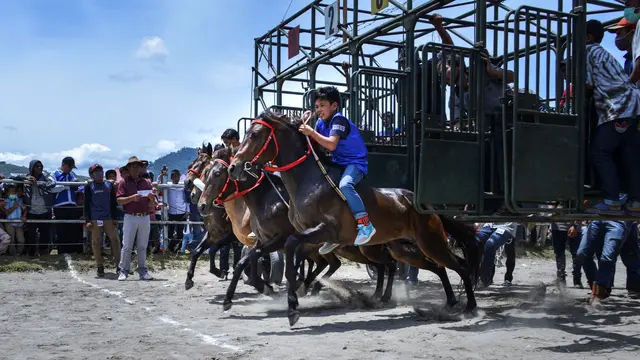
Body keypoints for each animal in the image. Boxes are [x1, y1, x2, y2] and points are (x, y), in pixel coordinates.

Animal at [228, 111, 478, 324]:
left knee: (460, 266)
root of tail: (419, 202)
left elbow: (291, 254)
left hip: (430, 241)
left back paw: (469, 308)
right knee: (436, 267)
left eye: (255, 134)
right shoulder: (303, 237)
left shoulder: (324, 230)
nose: (234, 167)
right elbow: (276, 257)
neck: (309, 182)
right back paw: (448, 303)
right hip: (404, 248)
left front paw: (292, 304)